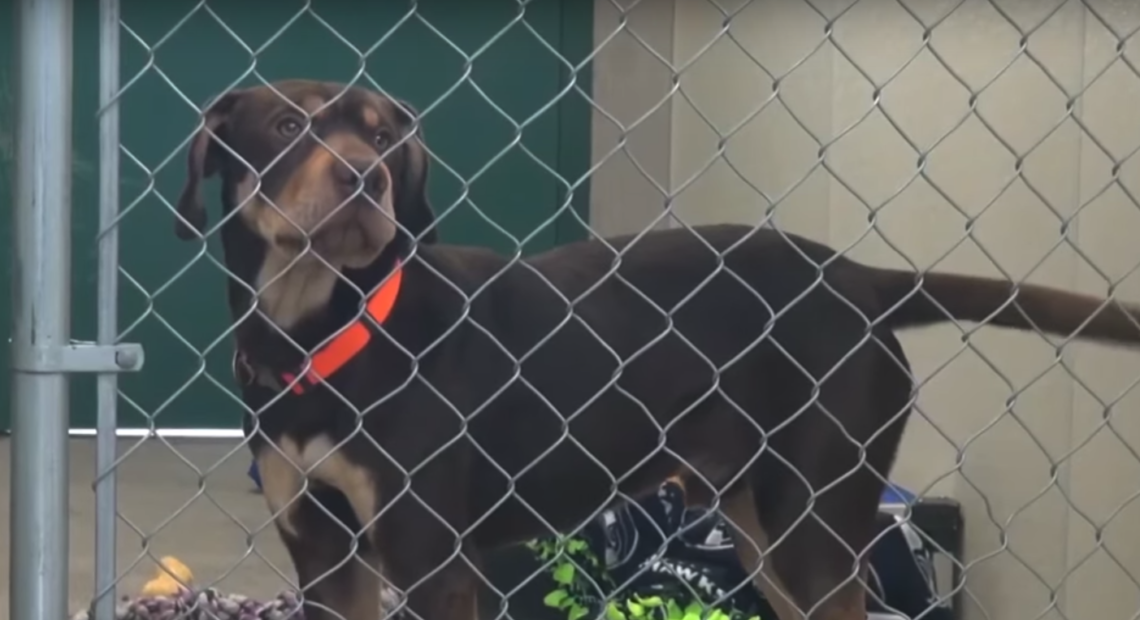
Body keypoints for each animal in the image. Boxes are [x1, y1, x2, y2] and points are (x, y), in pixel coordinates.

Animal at [173, 79, 1140, 620]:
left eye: (381, 136)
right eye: (286, 129)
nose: (364, 178)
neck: (325, 329)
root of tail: (857, 279)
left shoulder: (433, 558)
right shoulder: (324, 553)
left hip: (817, 517)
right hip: (762, 522)